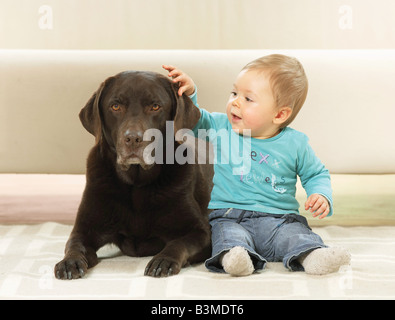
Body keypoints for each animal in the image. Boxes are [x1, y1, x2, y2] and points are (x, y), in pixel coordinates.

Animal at [54, 71, 213, 278]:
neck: (136, 184)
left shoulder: (202, 232)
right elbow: (74, 244)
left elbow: (179, 243)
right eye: (115, 106)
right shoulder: (84, 230)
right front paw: (69, 262)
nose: (132, 138)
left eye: (155, 106)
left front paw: (163, 260)